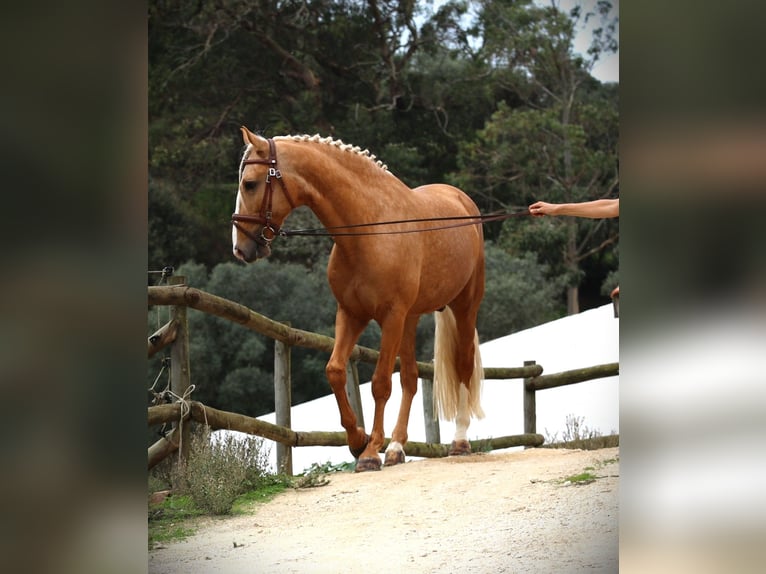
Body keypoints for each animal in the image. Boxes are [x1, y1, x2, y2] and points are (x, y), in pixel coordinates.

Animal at [232, 128, 486, 474]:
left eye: (250, 183)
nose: (240, 248)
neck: (369, 229)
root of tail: (462, 199)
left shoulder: (390, 317)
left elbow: (380, 383)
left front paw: (370, 452)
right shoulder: (351, 314)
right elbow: (336, 371)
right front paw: (357, 440)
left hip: (463, 308)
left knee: (463, 367)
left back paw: (458, 440)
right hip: (411, 319)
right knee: (410, 379)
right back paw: (396, 447)